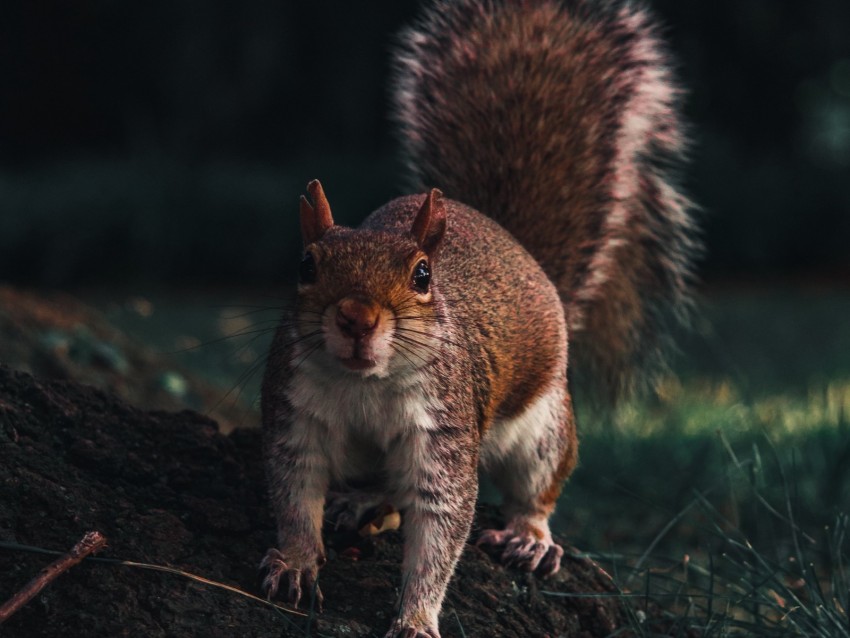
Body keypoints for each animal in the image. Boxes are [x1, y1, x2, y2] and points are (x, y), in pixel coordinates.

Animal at [260, 1, 696, 638]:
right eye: (305, 265)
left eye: (422, 275)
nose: (357, 318)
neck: (364, 384)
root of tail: (519, 250)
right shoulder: (295, 414)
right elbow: (294, 494)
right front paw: (294, 561)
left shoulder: (445, 431)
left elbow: (441, 527)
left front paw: (416, 616)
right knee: (383, 487)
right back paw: (362, 502)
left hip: (543, 426)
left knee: (538, 486)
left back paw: (529, 535)